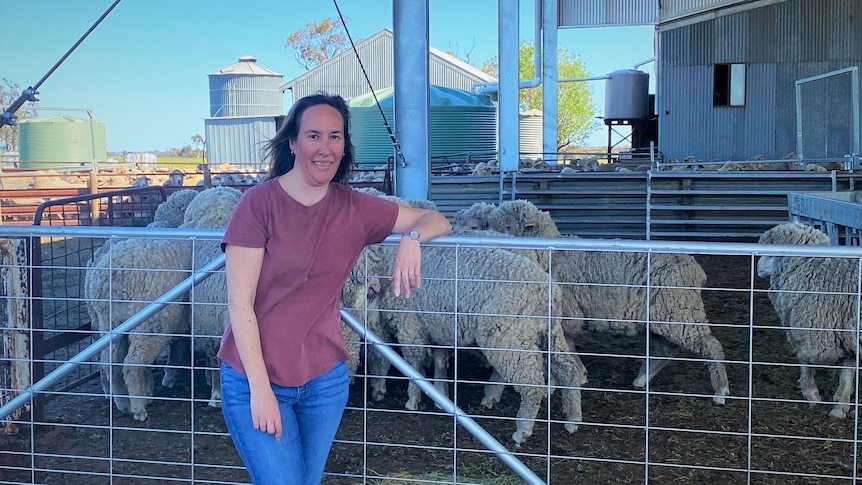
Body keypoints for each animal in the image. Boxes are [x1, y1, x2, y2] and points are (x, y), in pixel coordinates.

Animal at [486, 199, 728, 402]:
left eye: (508, 227)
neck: (550, 255)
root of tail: (695, 269)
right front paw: (580, 374)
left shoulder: (564, 315)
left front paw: (560, 380)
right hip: (664, 314)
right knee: (665, 349)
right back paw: (641, 379)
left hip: (679, 309)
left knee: (710, 345)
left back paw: (721, 391)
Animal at [760, 221, 860, 418]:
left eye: (771, 252)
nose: (758, 268)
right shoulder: (845, 336)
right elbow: (847, 373)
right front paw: (840, 407)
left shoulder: (814, 330)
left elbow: (806, 360)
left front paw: (811, 393)